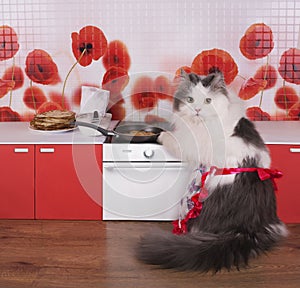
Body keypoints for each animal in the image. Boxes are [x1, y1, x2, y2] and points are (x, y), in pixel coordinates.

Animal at [135, 70, 288, 272]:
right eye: (190, 100)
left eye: (208, 100)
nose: (198, 110)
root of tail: (249, 228)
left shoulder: (190, 143)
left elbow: (172, 138)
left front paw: (160, 135)